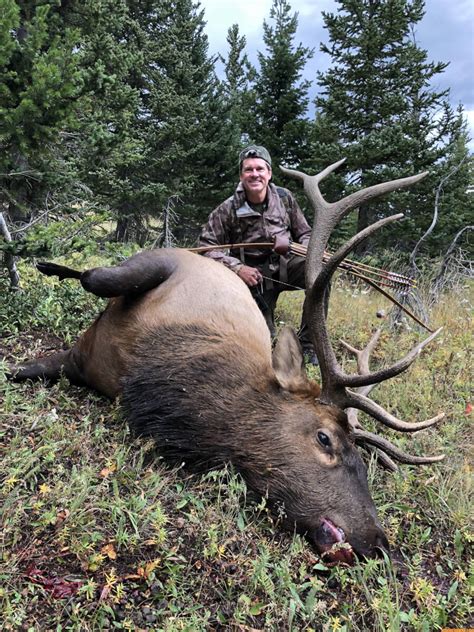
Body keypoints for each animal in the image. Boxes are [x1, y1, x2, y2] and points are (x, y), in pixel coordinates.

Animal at [7, 162, 444, 564]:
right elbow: (79, 299)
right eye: (324, 438)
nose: (378, 542)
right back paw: (47, 266)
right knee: (92, 275)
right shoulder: (86, 350)